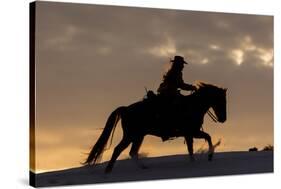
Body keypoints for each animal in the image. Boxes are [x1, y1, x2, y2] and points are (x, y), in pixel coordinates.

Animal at [82, 82, 225, 173]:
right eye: (221, 100)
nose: (223, 118)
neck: (193, 105)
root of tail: (125, 109)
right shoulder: (192, 132)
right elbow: (207, 137)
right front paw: (209, 156)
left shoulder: (189, 134)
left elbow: (191, 149)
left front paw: (195, 162)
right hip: (130, 135)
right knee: (118, 150)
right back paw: (108, 171)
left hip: (138, 136)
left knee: (132, 152)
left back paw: (143, 168)